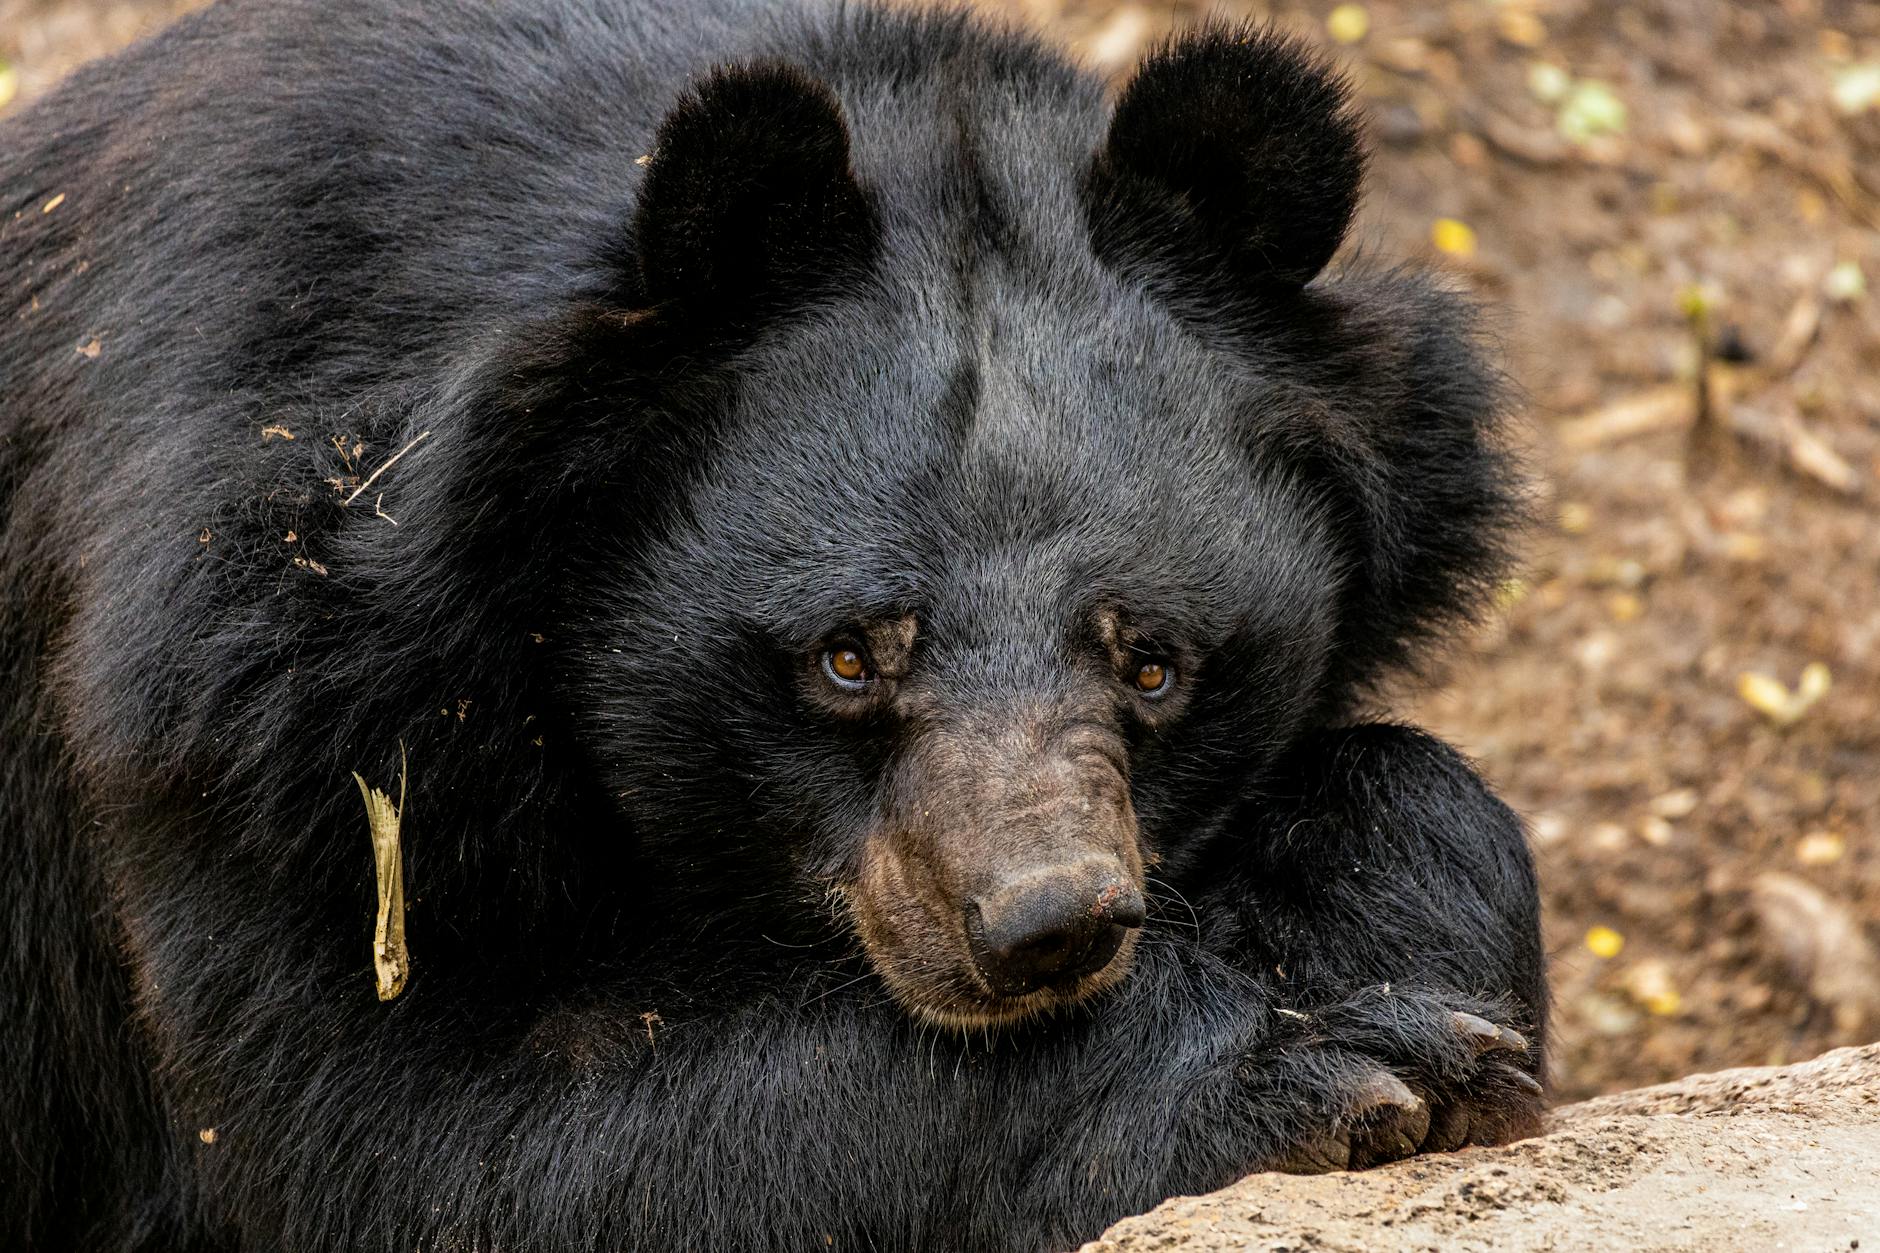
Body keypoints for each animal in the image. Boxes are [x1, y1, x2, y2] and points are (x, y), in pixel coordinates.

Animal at [0, 1, 1545, 1250]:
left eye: (1154, 661)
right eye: (845, 656)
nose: (1046, 927)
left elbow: (1421, 797)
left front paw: (1422, 984)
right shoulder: (250, 705)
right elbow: (427, 1149)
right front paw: (1337, 1062)